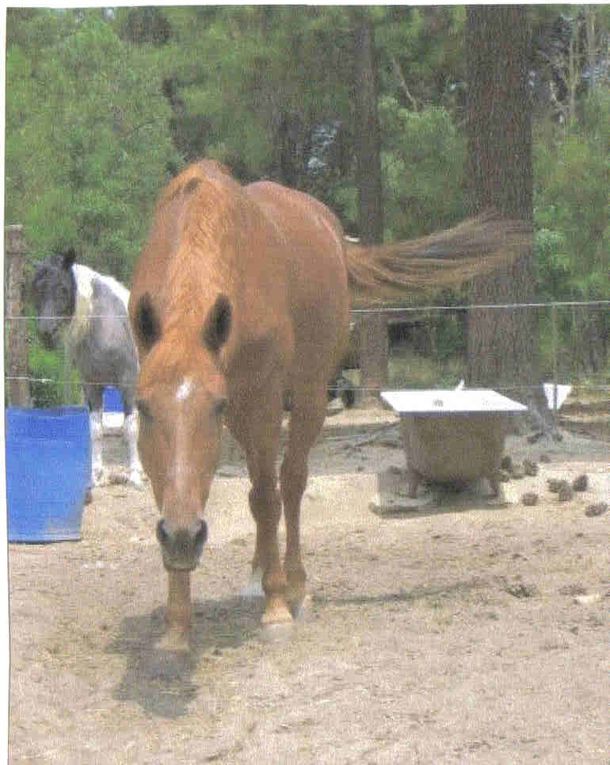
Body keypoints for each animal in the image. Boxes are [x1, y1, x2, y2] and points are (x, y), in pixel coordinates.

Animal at [32, 251, 144, 490]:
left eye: (62, 288)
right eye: (37, 288)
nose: (46, 333)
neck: (105, 325)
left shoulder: (128, 385)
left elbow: (130, 429)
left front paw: (135, 477)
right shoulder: (92, 387)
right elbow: (95, 431)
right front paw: (95, 476)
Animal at [127, 160, 528, 644]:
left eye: (214, 407)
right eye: (143, 407)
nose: (185, 538)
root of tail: (334, 237)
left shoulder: (261, 400)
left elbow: (270, 497)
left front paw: (276, 607)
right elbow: (182, 494)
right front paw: (177, 625)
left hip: (307, 397)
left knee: (290, 484)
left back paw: (295, 586)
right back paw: (258, 573)